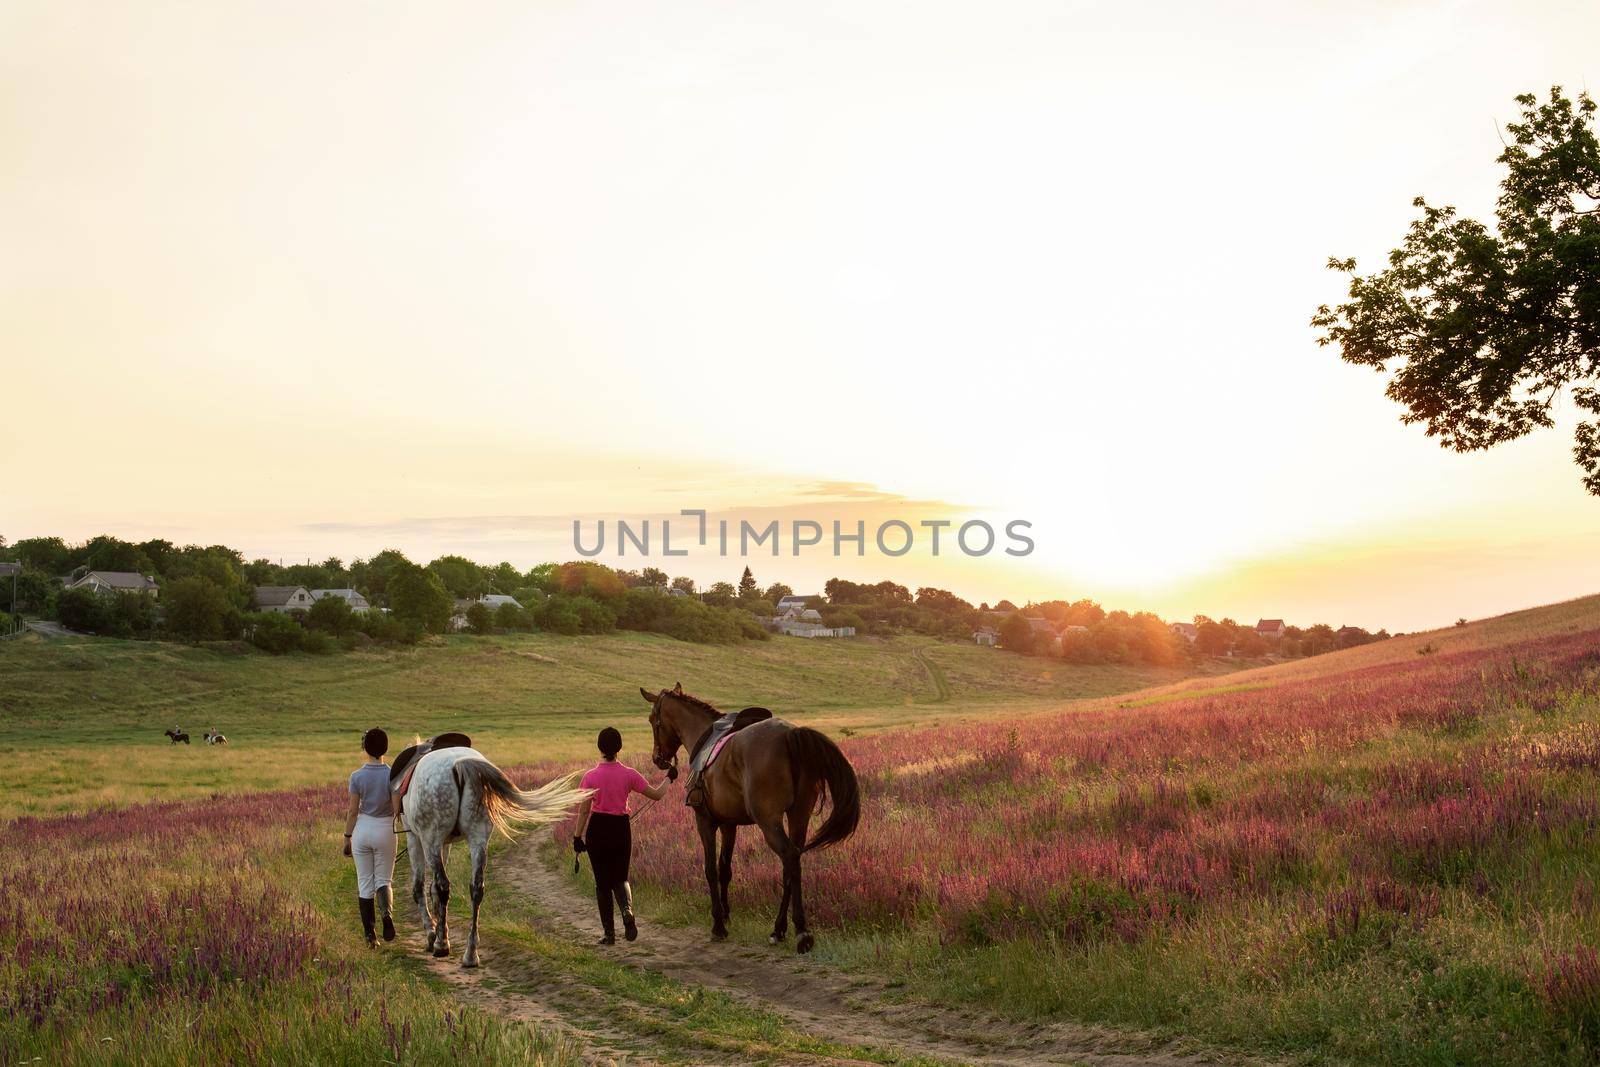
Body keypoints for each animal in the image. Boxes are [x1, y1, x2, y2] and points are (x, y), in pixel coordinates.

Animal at [392, 742, 588, 966]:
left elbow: (420, 888)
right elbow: (431, 888)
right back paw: (470, 953)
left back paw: (442, 946)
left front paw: (432, 934)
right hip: (478, 838)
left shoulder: (416, 840)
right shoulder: (445, 844)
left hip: (432, 839)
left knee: (443, 886)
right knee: (476, 888)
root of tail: (459, 764)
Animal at [640, 687, 857, 953]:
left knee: (789, 857)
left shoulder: (705, 821)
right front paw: (726, 915)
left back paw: (801, 932)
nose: (657, 759)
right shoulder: (729, 824)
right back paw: (779, 929)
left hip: (769, 821)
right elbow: (725, 869)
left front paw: (718, 925)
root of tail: (790, 735)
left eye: (652, 720)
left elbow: (710, 869)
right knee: (792, 863)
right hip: (799, 816)